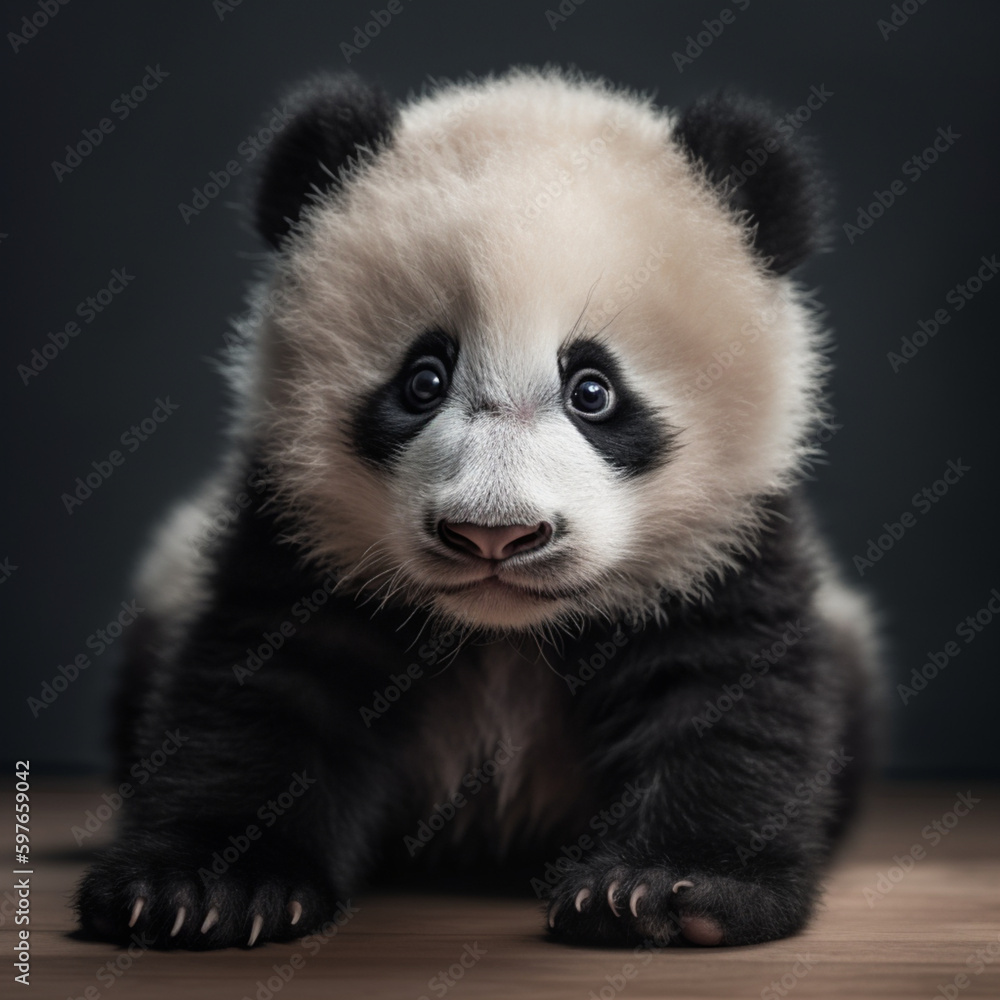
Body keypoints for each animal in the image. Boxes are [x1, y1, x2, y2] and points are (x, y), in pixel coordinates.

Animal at [76, 68, 878, 951]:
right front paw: (201, 890)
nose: (494, 534)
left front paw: (667, 890)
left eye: (592, 391)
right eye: (423, 380)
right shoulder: (300, 545)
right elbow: (260, 693)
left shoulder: (724, 549)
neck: (506, 633)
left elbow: (730, 699)